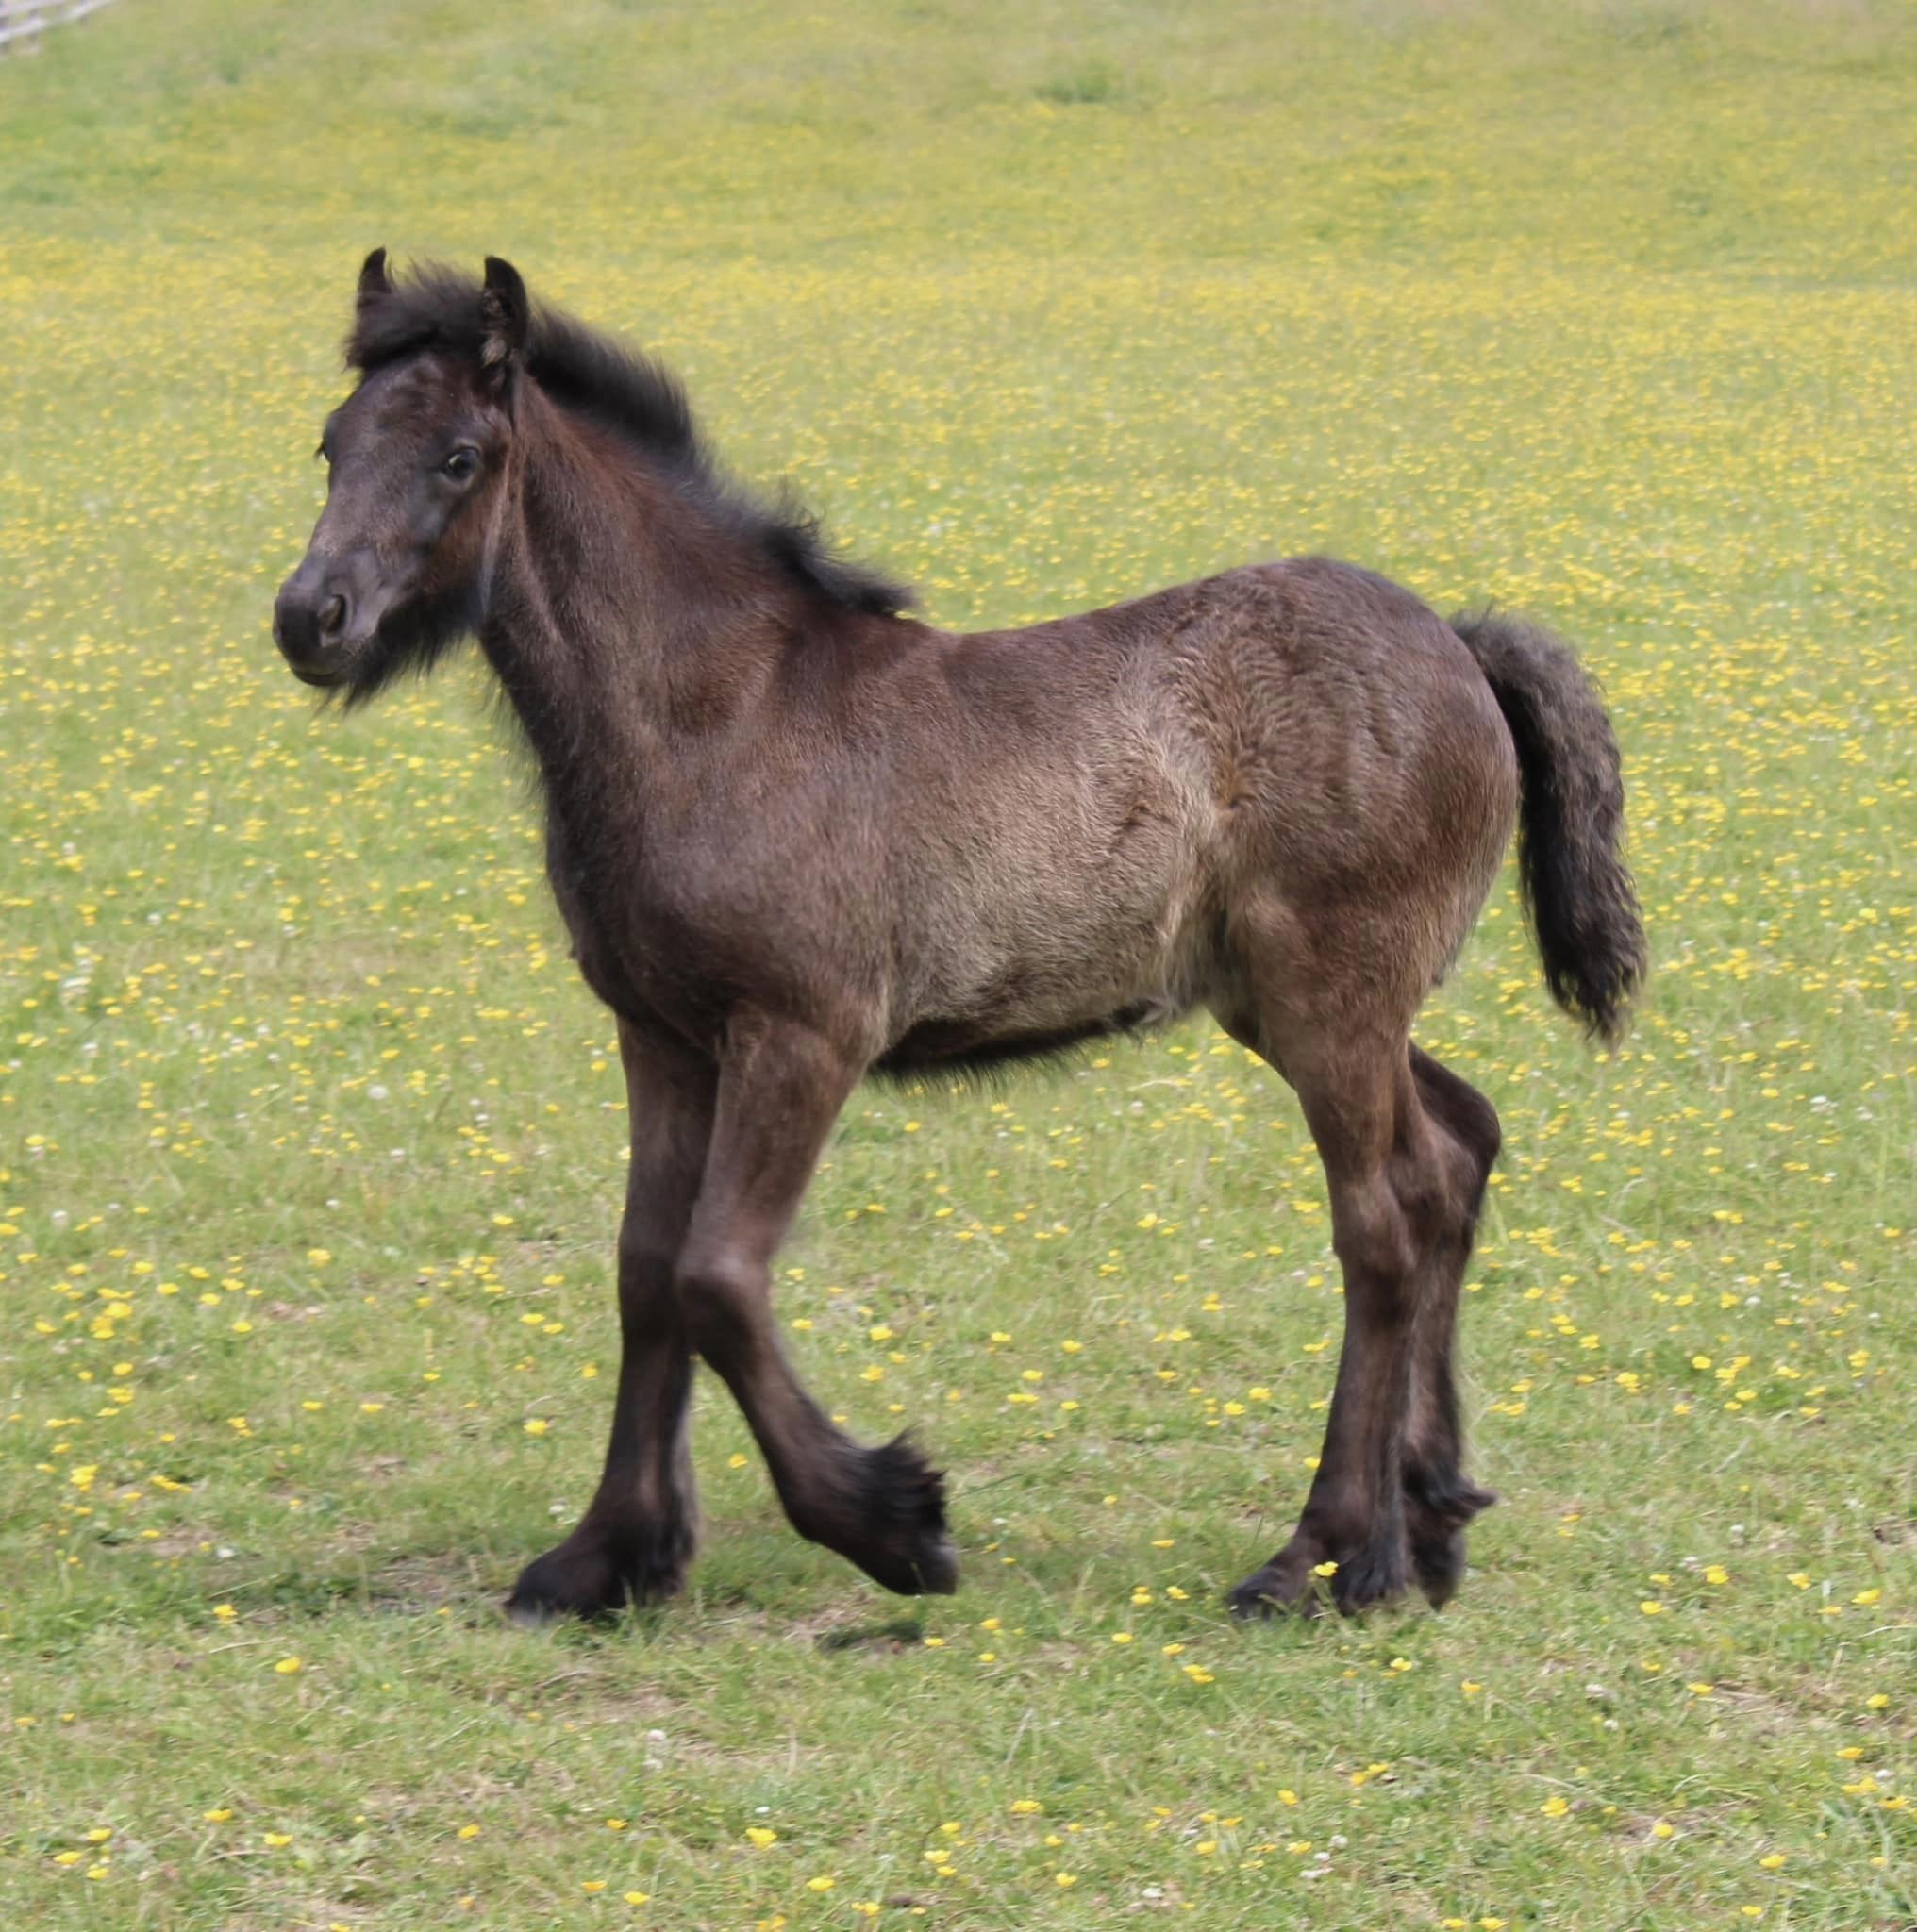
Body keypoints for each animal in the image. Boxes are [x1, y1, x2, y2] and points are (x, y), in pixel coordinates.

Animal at [272, 253, 1646, 1615]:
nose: (310, 617)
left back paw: (1324, 1554)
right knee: (1455, 1150)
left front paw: (892, 1522)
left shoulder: (804, 1031)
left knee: (1383, 1221)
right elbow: (645, 1271)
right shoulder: (660, 1035)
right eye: (332, 443)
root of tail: (1459, 643)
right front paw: (607, 1555)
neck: (718, 714)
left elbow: (717, 1275)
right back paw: (1431, 1521)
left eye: (459, 456)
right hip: (1296, 1005)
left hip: (1331, 999)